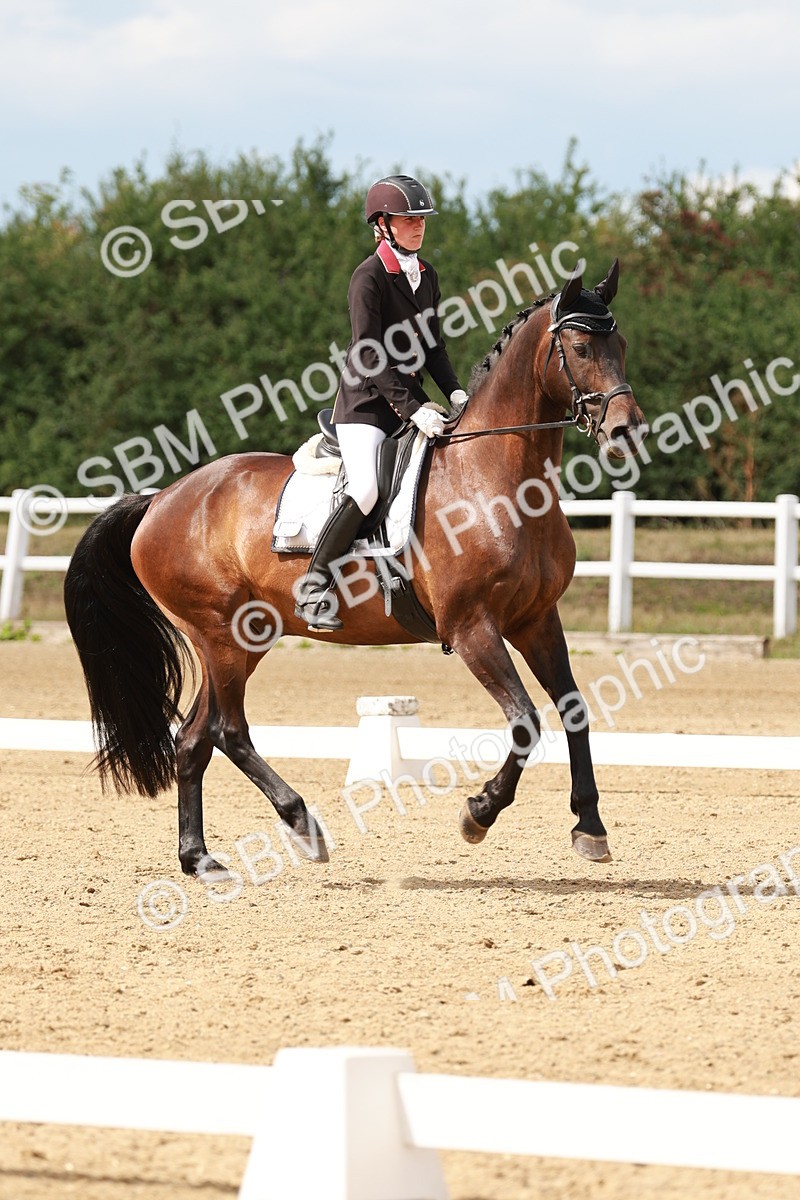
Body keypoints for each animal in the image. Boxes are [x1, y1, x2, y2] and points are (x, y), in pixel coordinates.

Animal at [63, 260, 648, 877]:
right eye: (580, 347)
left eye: (622, 345)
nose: (628, 430)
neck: (496, 478)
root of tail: (160, 498)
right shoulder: (472, 628)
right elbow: (525, 721)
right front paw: (479, 813)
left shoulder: (536, 619)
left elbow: (573, 709)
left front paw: (590, 827)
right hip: (219, 633)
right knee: (228, 729)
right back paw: (301, 824)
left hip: (245, 638)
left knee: (195, 738)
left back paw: (199, 857)